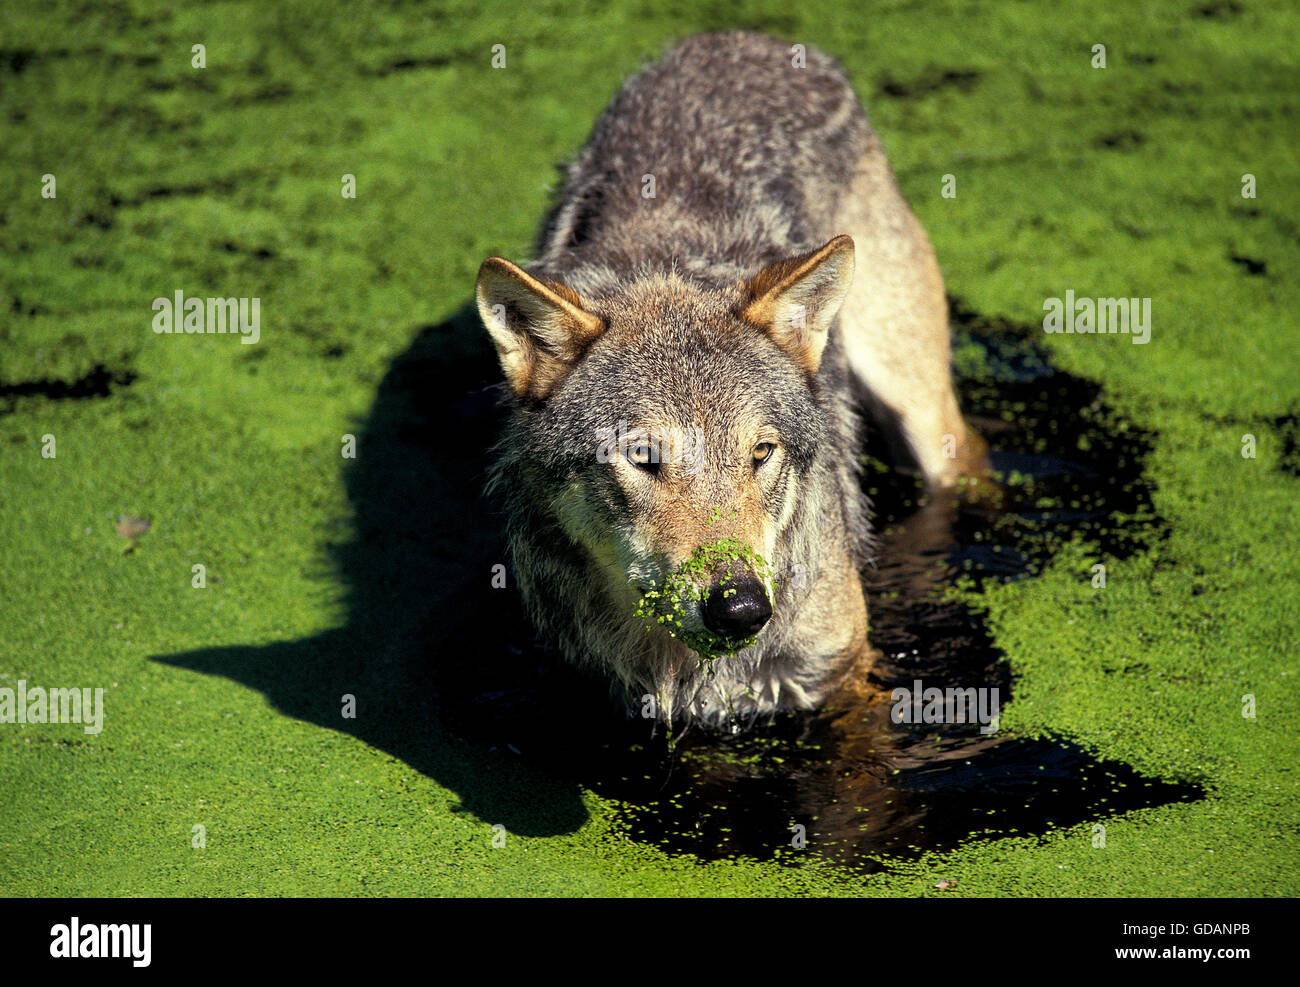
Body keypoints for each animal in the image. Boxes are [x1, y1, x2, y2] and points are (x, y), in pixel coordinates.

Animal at [475, 31, 984, 729]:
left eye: (761, 453)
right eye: (643, 457)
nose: (741, 607)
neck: (680, 669)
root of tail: (739, 38)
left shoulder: (845, 681)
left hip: (924, 418)